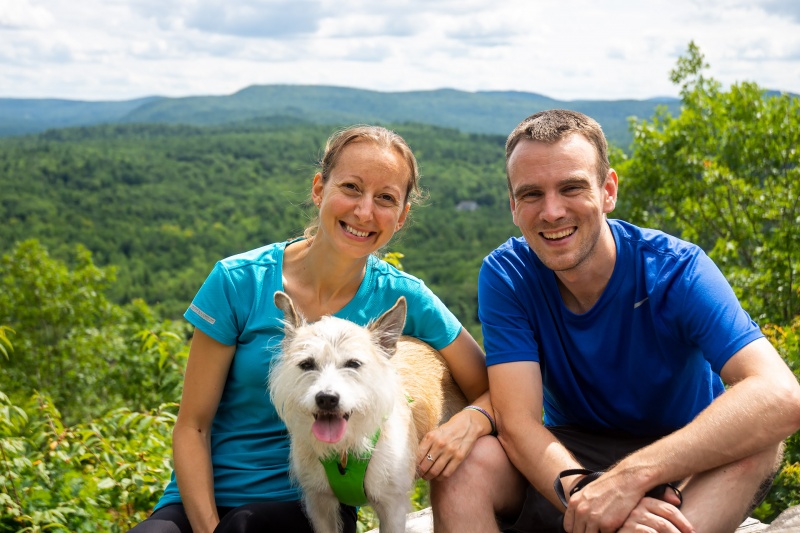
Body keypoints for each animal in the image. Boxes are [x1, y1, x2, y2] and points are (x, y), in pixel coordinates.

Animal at [270, 290, 468, 532]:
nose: (327, 398)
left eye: (353, 364)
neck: (344, 450)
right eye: (307, 364)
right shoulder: (319, 504)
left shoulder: (392, 506)